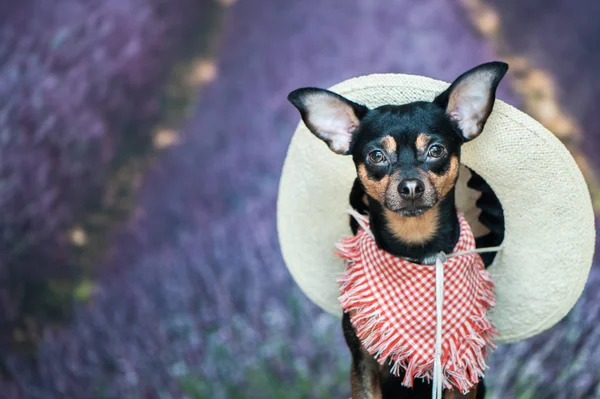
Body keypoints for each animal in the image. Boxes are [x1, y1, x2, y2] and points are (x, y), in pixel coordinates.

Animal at [288, 61, 508, 398]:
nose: (411, 187)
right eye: (376, 156)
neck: (416, 246)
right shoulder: (363, 364)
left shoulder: (463, 376)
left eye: (436, 150)